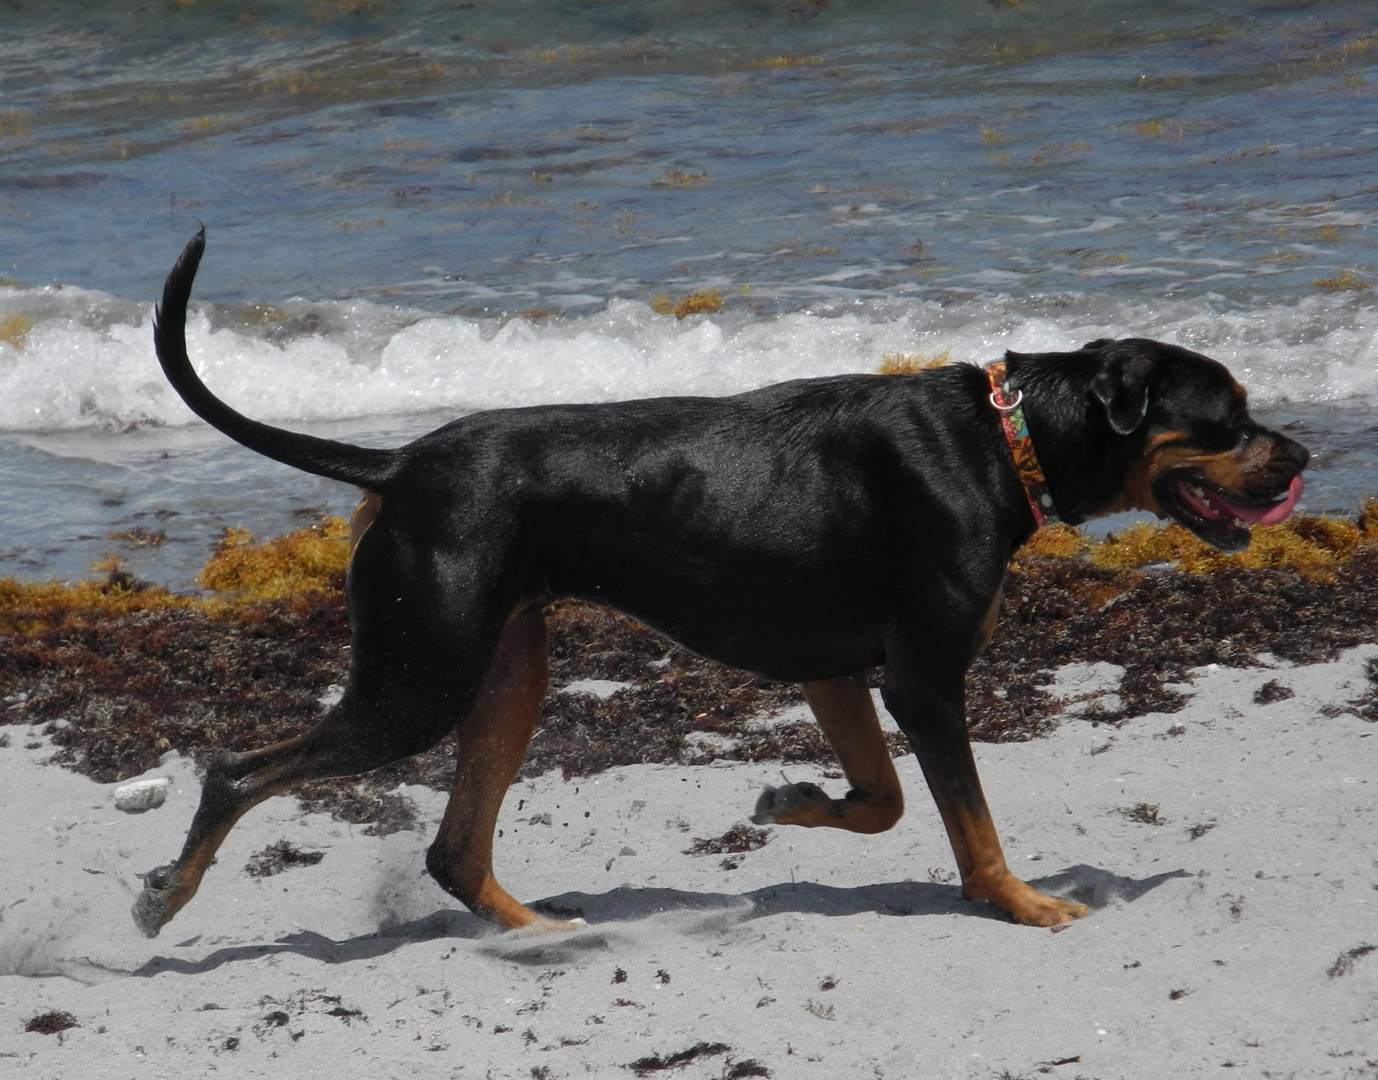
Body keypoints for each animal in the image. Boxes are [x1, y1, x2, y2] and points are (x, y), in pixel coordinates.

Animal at [134, 231, 1306, 942]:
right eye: (1227, 420)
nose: (1297, 457)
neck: (1004, 437)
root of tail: (400, 466)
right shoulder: (922, 681)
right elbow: (967, 824)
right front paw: (1022, 901)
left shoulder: (837, 672)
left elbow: (881, 802)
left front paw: (797, 801)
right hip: (420, 680)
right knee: (237, 772)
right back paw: (168, 894)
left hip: (504, 671)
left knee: (453, 849)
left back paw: (537, 935)